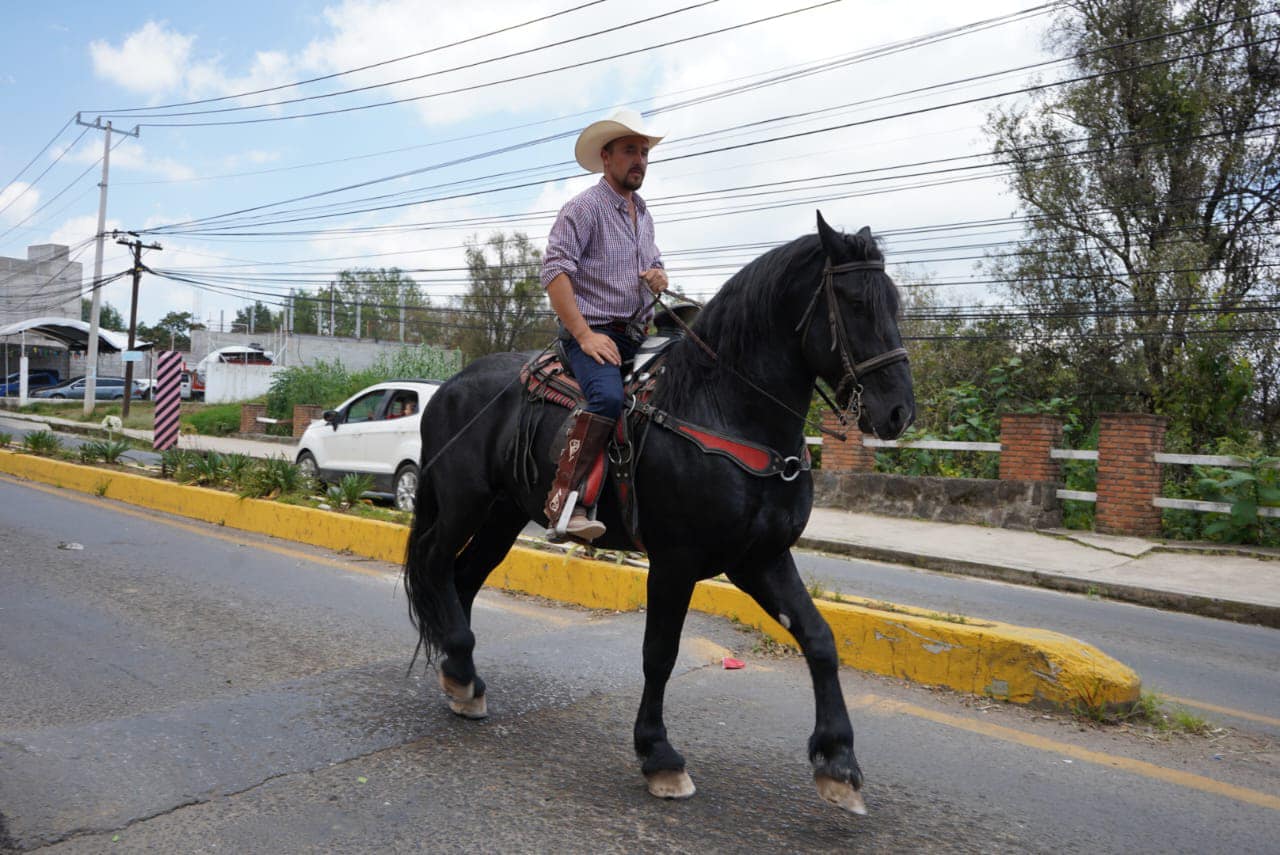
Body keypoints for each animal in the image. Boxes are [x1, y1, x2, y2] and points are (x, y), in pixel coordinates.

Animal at [404, 209, 916, 814]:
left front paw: (838, 762)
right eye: (856, 303)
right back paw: (459, 667)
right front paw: (659, 756)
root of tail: (446, 389)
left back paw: (461, 678)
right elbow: (660, 653)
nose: (899, 412)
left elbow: (819, 639)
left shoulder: (760, 558)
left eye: (894, 302)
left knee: (463, 578)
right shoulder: (676, 561)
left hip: (505, 515)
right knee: (437, 566)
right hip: (463, 503)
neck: (720, 409)